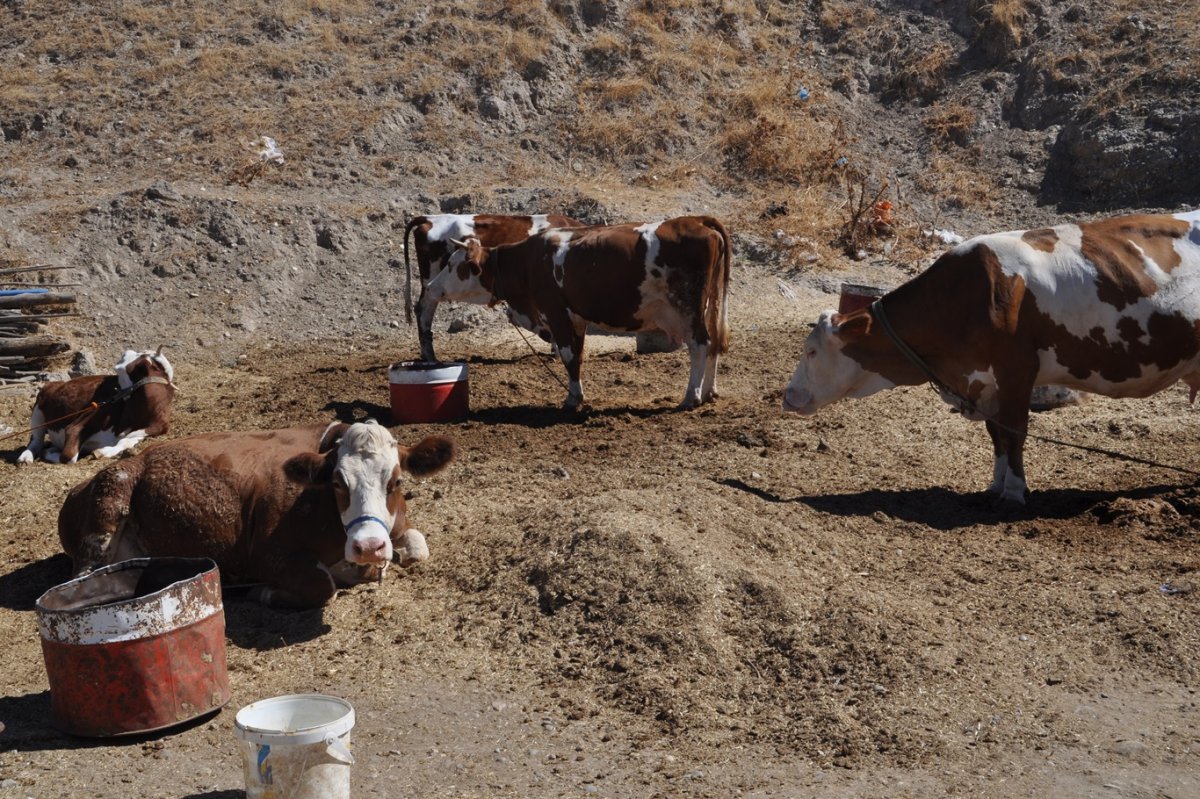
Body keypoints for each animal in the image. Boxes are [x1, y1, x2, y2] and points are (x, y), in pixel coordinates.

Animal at [17, 347, 175, 463]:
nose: (127, 351)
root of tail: (59, 383)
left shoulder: (152, 428)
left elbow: (125, 442)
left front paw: (103, 452)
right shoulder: (77, 426)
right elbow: (68, 456)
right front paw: (49, 453)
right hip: (39, 405)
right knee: (36, 440)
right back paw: (26, 457)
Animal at [55, 417, 453, 604]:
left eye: (396, 481)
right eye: (338, 483)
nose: (369, 546)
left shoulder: (398, 530)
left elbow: (417, 549)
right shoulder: (267, 555)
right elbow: (323, 585)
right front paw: (266, 593)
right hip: (109, 499)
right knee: (81, 576)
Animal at [446, 214, 734, 407]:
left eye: (452, 265)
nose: (435, 284)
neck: (527, 262)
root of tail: (695, 220)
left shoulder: (557, 316)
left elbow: (569, 357)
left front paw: (573, 400)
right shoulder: (577, 320)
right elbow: (579, 356)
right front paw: (575, 395)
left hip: (688, 309)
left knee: (700, 344)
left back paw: (691, 396)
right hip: (708, 306)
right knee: (713, 344)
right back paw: (708, 391)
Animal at [782, 208, 1200, 501]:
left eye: (812, 351)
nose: (787, 396)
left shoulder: (1016, 369)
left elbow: (1014, 431)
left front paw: (1014, 491)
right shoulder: (987, 381)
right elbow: (996, 433)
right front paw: (996, 485)